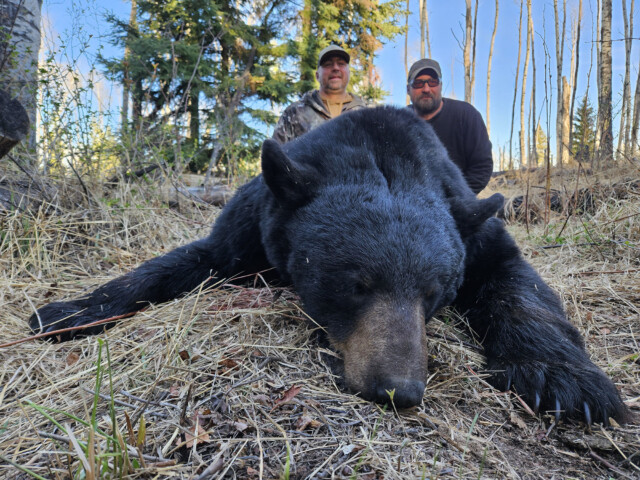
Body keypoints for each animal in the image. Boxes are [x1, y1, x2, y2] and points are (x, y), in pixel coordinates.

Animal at [28, 106, 629, 424]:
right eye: (355, 284)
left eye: (434, 293)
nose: (400, 389)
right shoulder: (254, 226)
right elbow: (179, 262)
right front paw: (67, 311)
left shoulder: (472, 226)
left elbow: (518, 283)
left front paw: (565, 381)